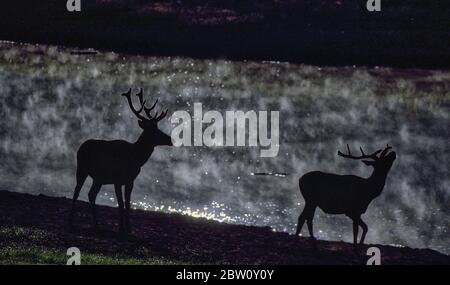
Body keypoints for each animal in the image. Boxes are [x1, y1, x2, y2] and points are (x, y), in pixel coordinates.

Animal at [69, 87, 173, 232]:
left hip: (98, 178)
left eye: (158, 129)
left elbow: (128, 203)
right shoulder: (117, 180)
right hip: (82, 169)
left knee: (91, 194)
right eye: (154, 131)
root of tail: (81, 146)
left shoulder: (130, 181)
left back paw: (97, 225)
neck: (136, 157)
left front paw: (128, 228)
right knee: (77, 191)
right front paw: (121, 228)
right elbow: (120, 203)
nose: (170, 139)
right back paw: (71, 221)